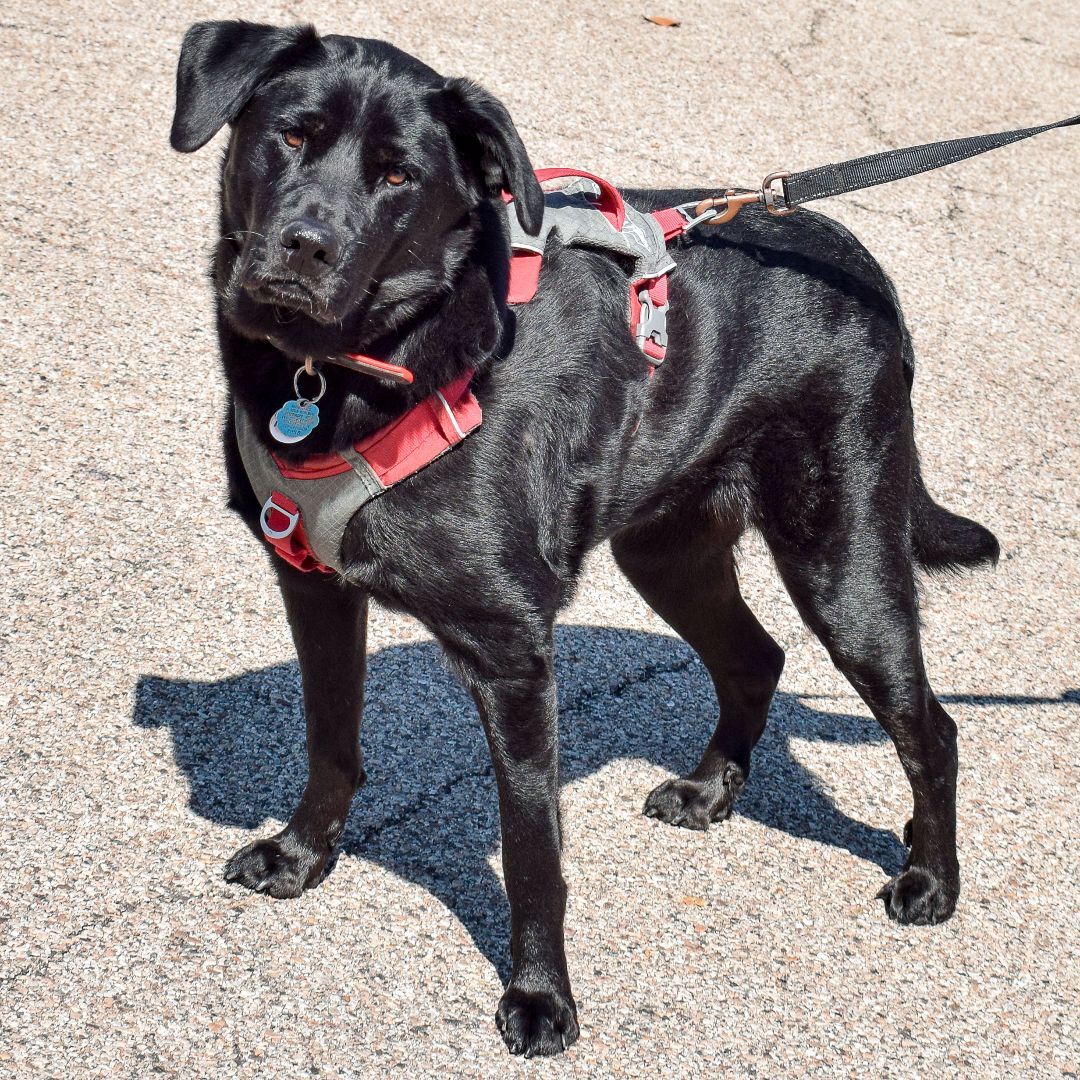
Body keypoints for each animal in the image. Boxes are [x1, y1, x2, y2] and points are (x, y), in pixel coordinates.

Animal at [166, 21, 993, 1058]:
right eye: (289, 136)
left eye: (399, 176)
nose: (305, 246)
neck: (366, 364)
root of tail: (862, 264)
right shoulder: (312, 585)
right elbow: (329, 741)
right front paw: (302, 855)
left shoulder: (512, 651)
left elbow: (533, 848)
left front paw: (539, 996)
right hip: (667, 549)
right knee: (754, 657)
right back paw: (710, 790)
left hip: (842, 566)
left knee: (932, 727)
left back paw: (932, 880)